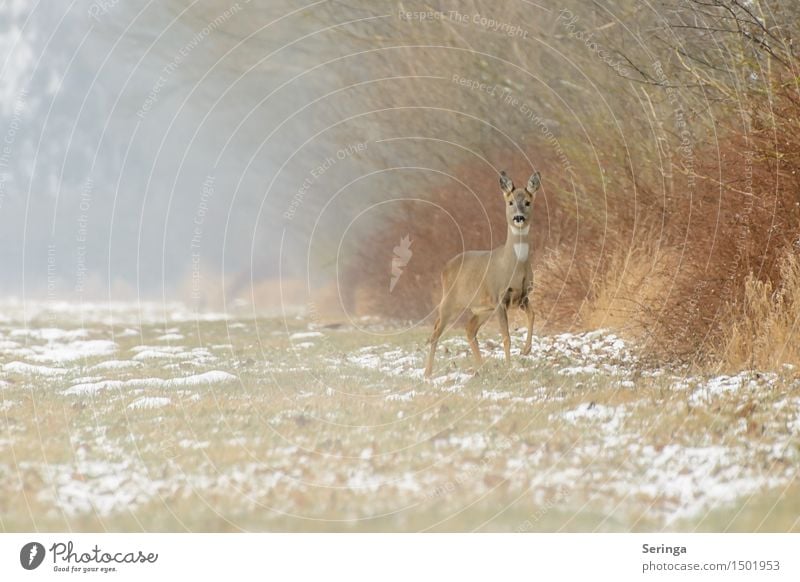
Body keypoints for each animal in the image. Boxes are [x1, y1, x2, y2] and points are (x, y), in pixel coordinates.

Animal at [422, 170, 540, 378]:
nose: (518, 218)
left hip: (483, 308)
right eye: (510, 202)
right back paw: (428, 373)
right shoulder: (499, 296)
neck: (514, 266)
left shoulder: (523, 296)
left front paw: (526, 350)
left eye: (527, 202)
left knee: (469, 329)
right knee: (435, 332)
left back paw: (482, 368)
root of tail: (445, 268)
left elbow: (533, 315)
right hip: (449, 302)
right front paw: (509, 368)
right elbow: (506, 336)